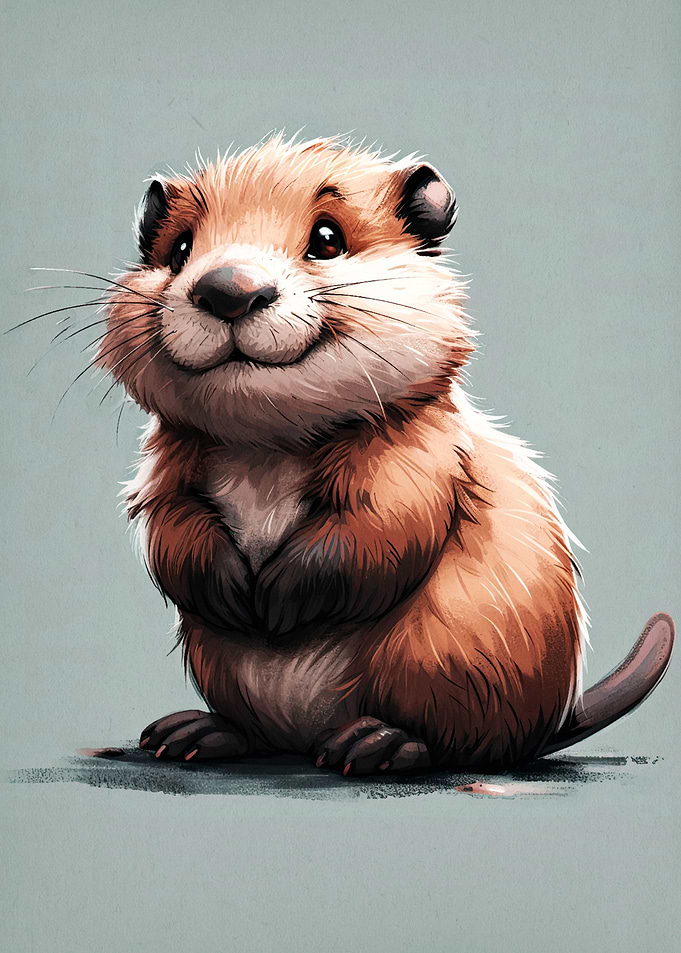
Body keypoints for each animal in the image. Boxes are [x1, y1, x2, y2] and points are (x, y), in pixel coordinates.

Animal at [91, 134, 672, 775]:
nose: (228, 290)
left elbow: (384, 525)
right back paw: (187, 733)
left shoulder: (417, 452)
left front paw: (274, 604)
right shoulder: (169, 459)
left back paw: (372, 743)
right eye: (180, 248)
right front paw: (236, 594)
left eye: (327, 238)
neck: (267, 443)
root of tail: (560, 720)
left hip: (439, 664)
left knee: (454, 743)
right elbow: (170, 522)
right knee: (256, 733)